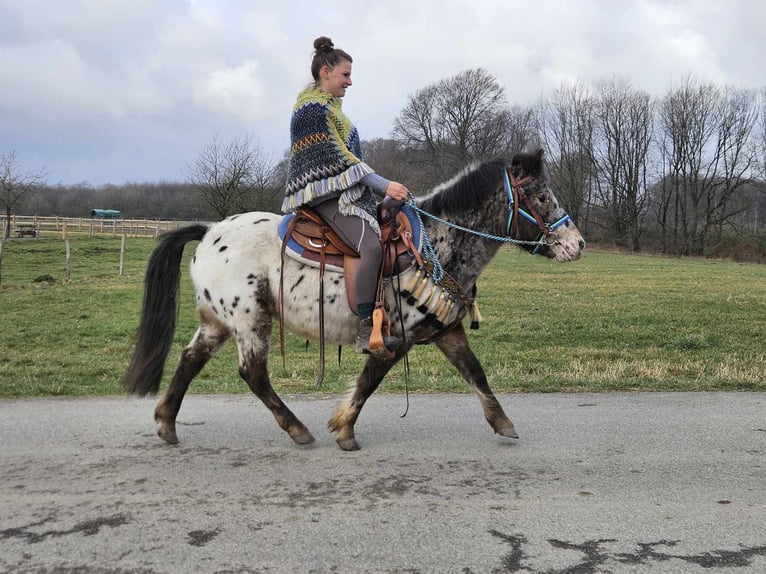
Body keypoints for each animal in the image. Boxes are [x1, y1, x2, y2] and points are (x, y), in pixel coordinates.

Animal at [123, 151, 584, 452]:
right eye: (542, 197)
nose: (577, 244)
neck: (438, 243)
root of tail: (208, 232)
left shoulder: (446, 331)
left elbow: (476, 373)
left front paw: (503, 423)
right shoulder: (393, 339)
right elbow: (368, 382)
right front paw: (344, 429)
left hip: (218, 322)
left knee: (189, 360)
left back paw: (166, 424)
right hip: (251, 319)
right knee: (253, 373)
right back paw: (296, 429)